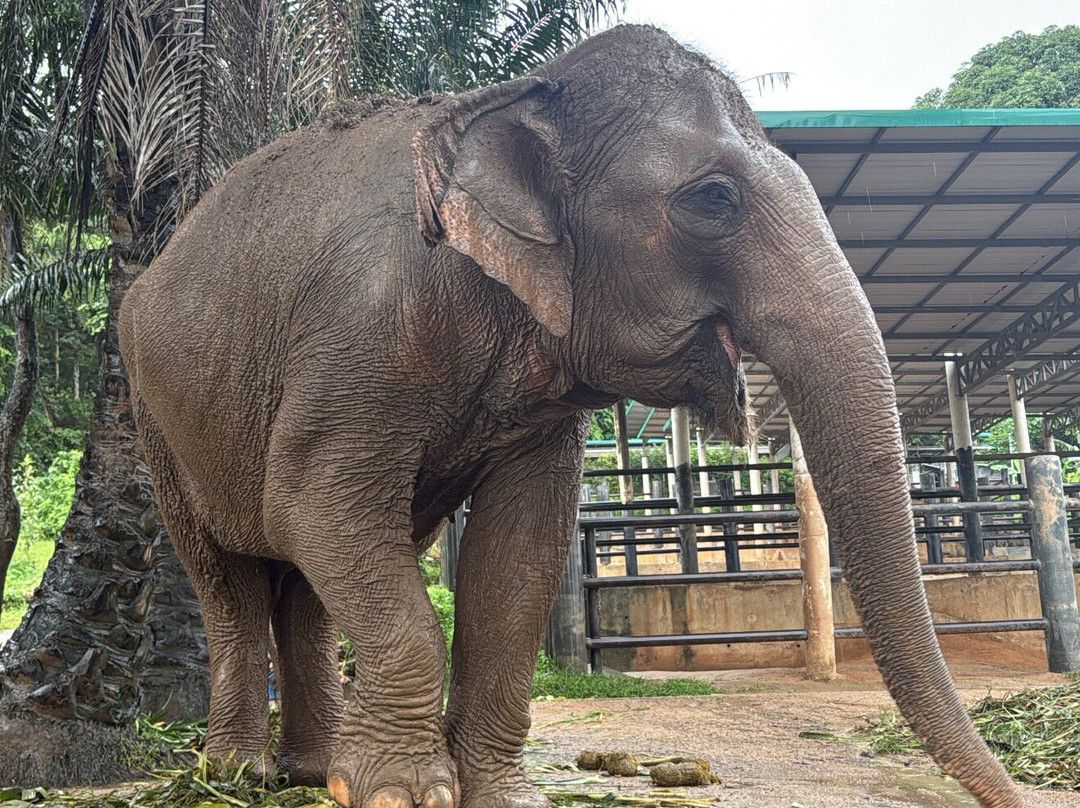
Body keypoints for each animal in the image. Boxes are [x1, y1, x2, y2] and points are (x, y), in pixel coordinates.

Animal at [117, 24, 1023, 808]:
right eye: (713, 199)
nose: (1016, 794)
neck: (509, 97)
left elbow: (520, 555)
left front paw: (498, 797)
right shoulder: (361, 331)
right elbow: (317, 504)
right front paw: (400, 794)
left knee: (306, 586)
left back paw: (309, 773)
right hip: (154, 419)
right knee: (233, 579)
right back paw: (236, 773)